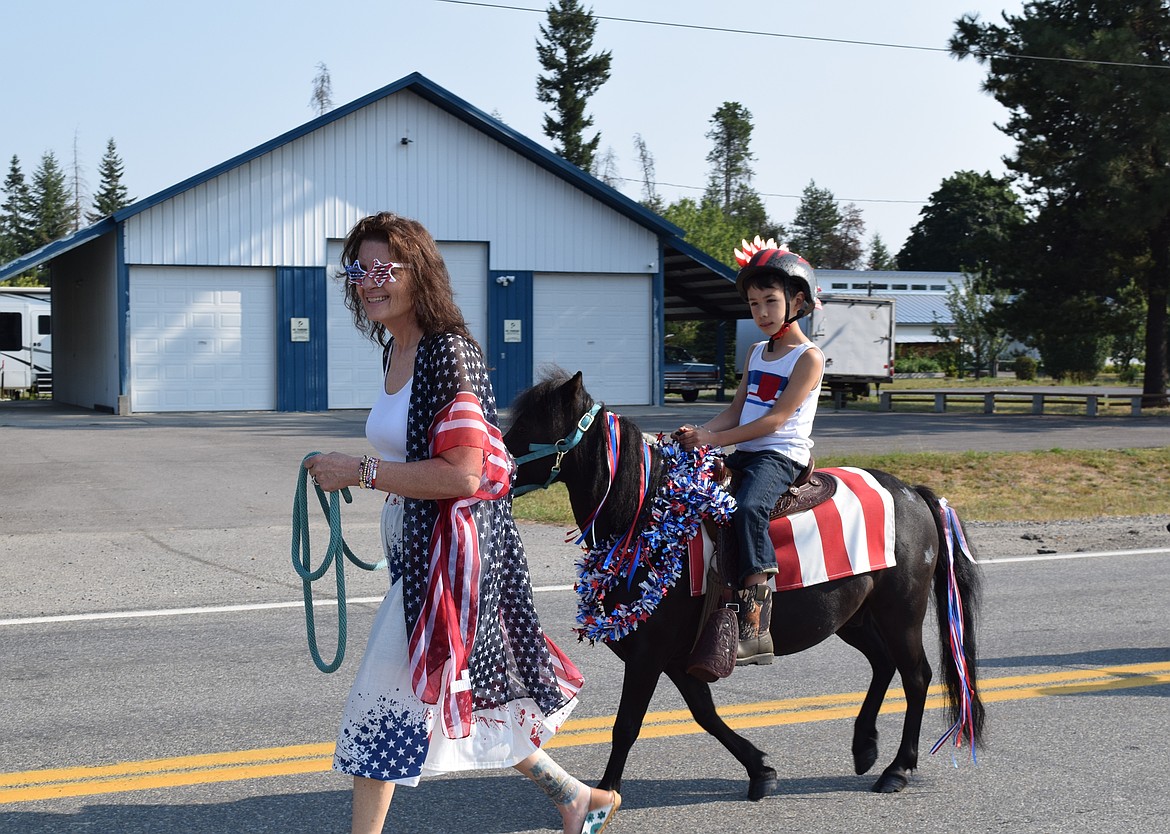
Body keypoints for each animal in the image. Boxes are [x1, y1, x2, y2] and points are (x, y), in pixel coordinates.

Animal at [505, 371, 987, 800]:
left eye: (530, 426)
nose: (498, 468)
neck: (645, 518)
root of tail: (911, 492)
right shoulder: (679, 656)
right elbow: (705, 713)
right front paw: (761, 770)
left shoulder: (648, 653)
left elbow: (627, 724)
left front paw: (604, 793)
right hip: (853, 618)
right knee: (884, 665)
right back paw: (864, 746)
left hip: (899, 613)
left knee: (917, 677)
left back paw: (897, 768)